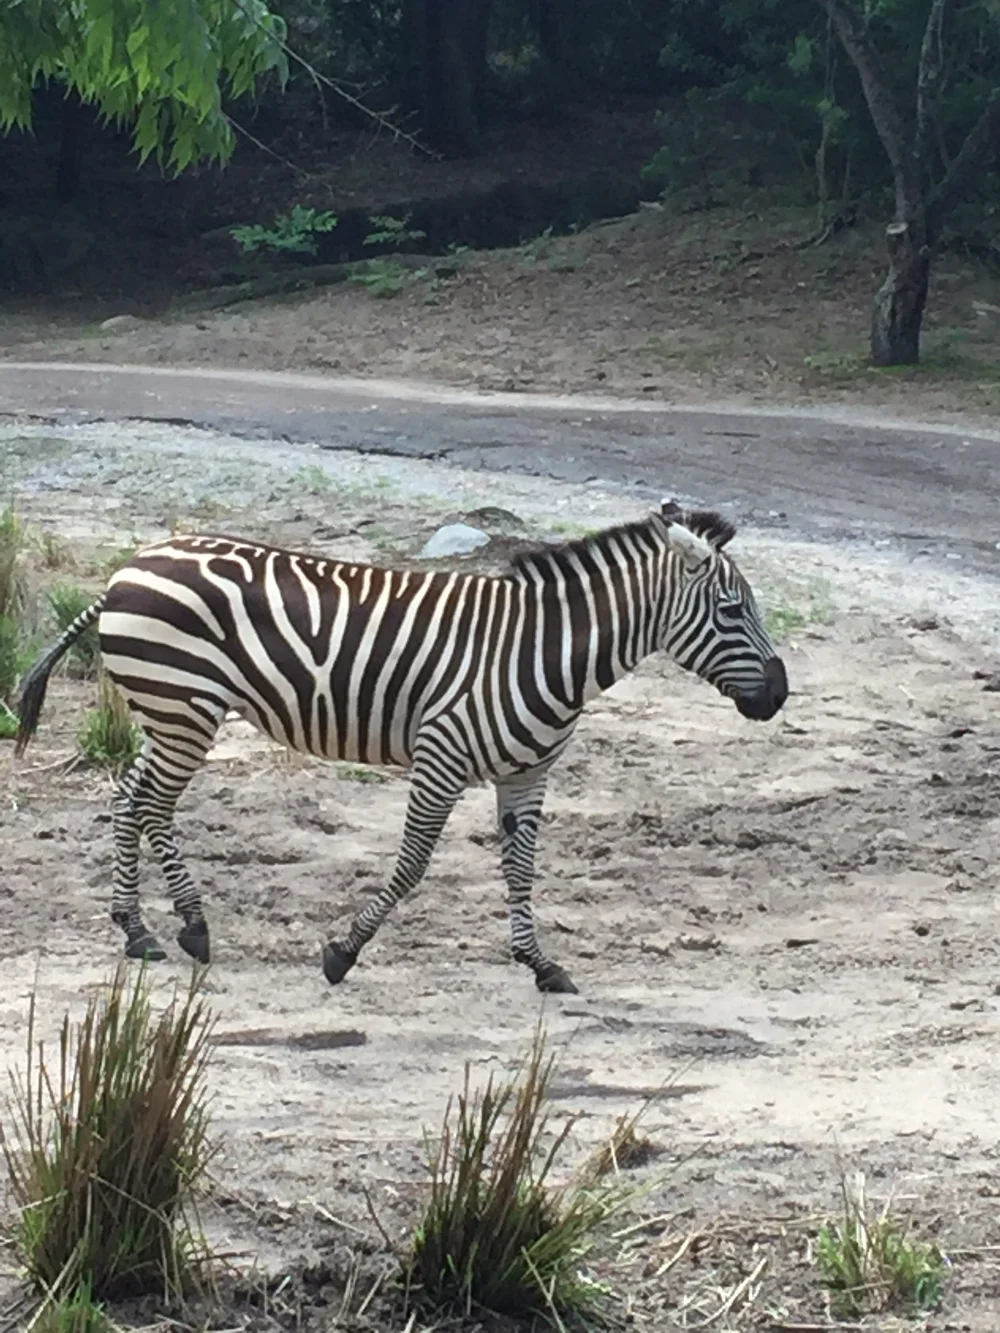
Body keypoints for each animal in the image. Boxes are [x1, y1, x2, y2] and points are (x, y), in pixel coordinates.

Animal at [14, 498, 788, 994]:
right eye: (731, 610)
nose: (780, 695)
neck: (545, 652)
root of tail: (128, 567)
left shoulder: (527, 773)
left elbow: (521, 870)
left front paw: (540, 964)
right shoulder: (441, 756)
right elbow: (413, 864)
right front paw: (341, 952)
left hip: (169, 713)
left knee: (128, 801)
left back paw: (137, 929)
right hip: (183, 709)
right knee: (150, 806)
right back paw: (192, 928)